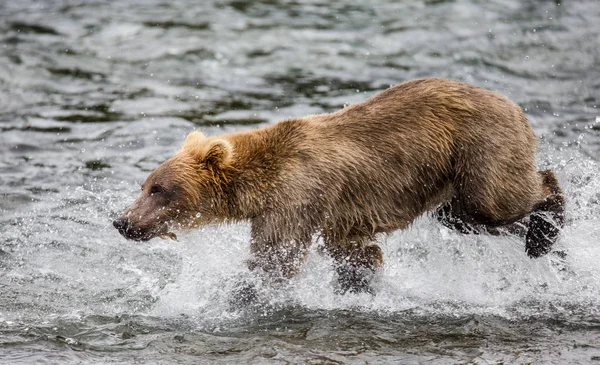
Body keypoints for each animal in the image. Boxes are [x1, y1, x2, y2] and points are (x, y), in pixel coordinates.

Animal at [113, 77, 568, 292]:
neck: (256, 188)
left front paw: (237, 295)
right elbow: (355, 256)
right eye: (144, 185)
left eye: (159, 189)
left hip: (479, 149)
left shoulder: (296, 197)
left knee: (498, 199)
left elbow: (274, 259)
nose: (122, 221)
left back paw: (545, 227)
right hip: (450, 180)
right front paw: (360, 289)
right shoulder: (338, 217)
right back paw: (547, 246)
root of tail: (513, 104)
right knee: (463, 219)